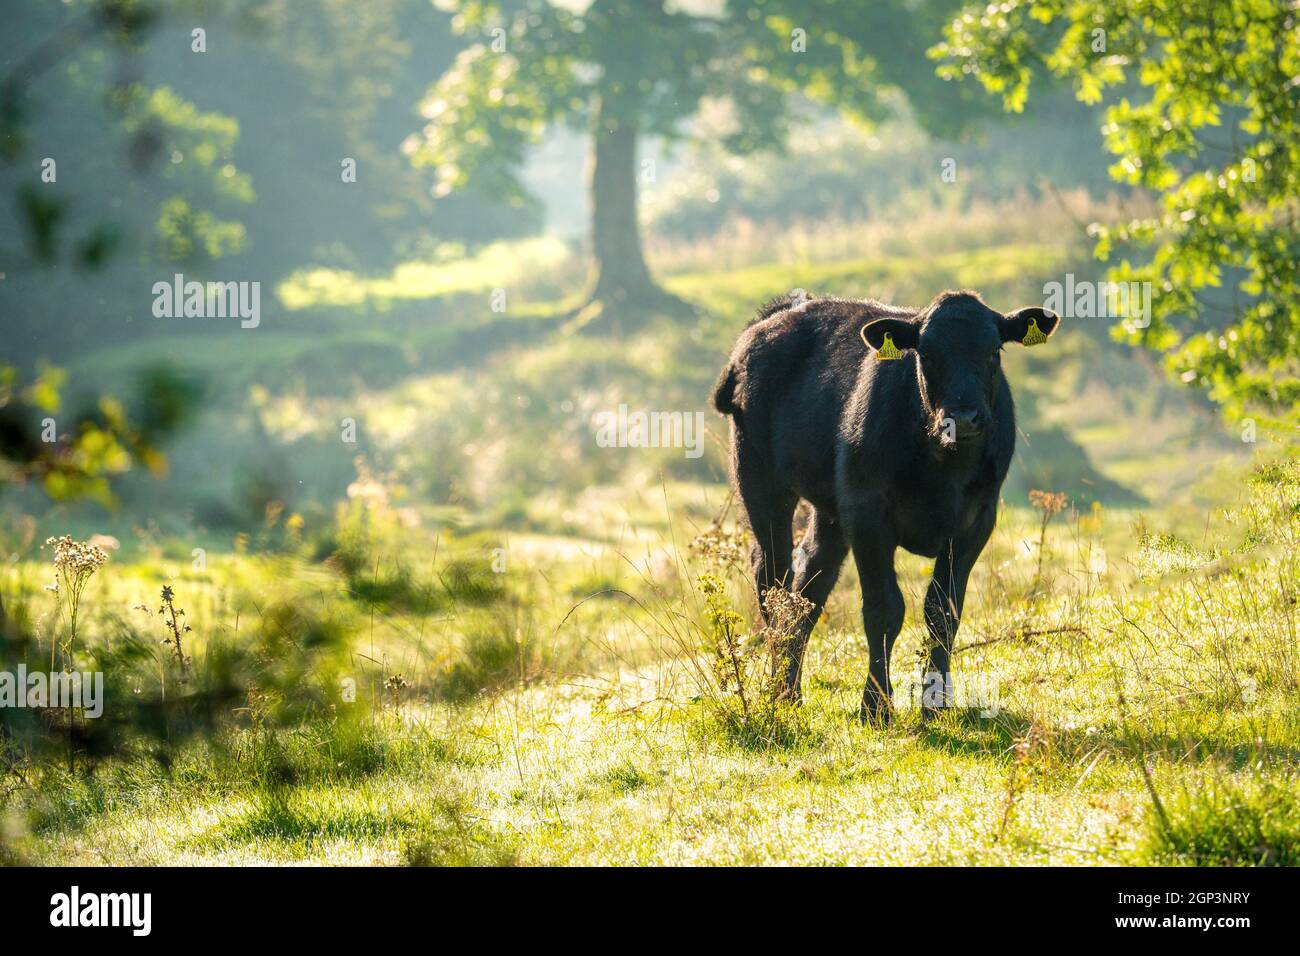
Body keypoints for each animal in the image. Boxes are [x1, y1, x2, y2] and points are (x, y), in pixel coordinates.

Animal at [717, 287, 1060, 723]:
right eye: (926, 354)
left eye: (994, 351)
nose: (964, 417)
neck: (942, 466)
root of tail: (786, 310)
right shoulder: (867, 513)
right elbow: (884, 609)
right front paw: (876, 706)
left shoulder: (977, 521)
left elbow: (943, 612)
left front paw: (935, 704)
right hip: (760, 481)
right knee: (773, 578)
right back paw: (779, 692)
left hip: (830, 508)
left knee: (808, 584)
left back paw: (790, 693)